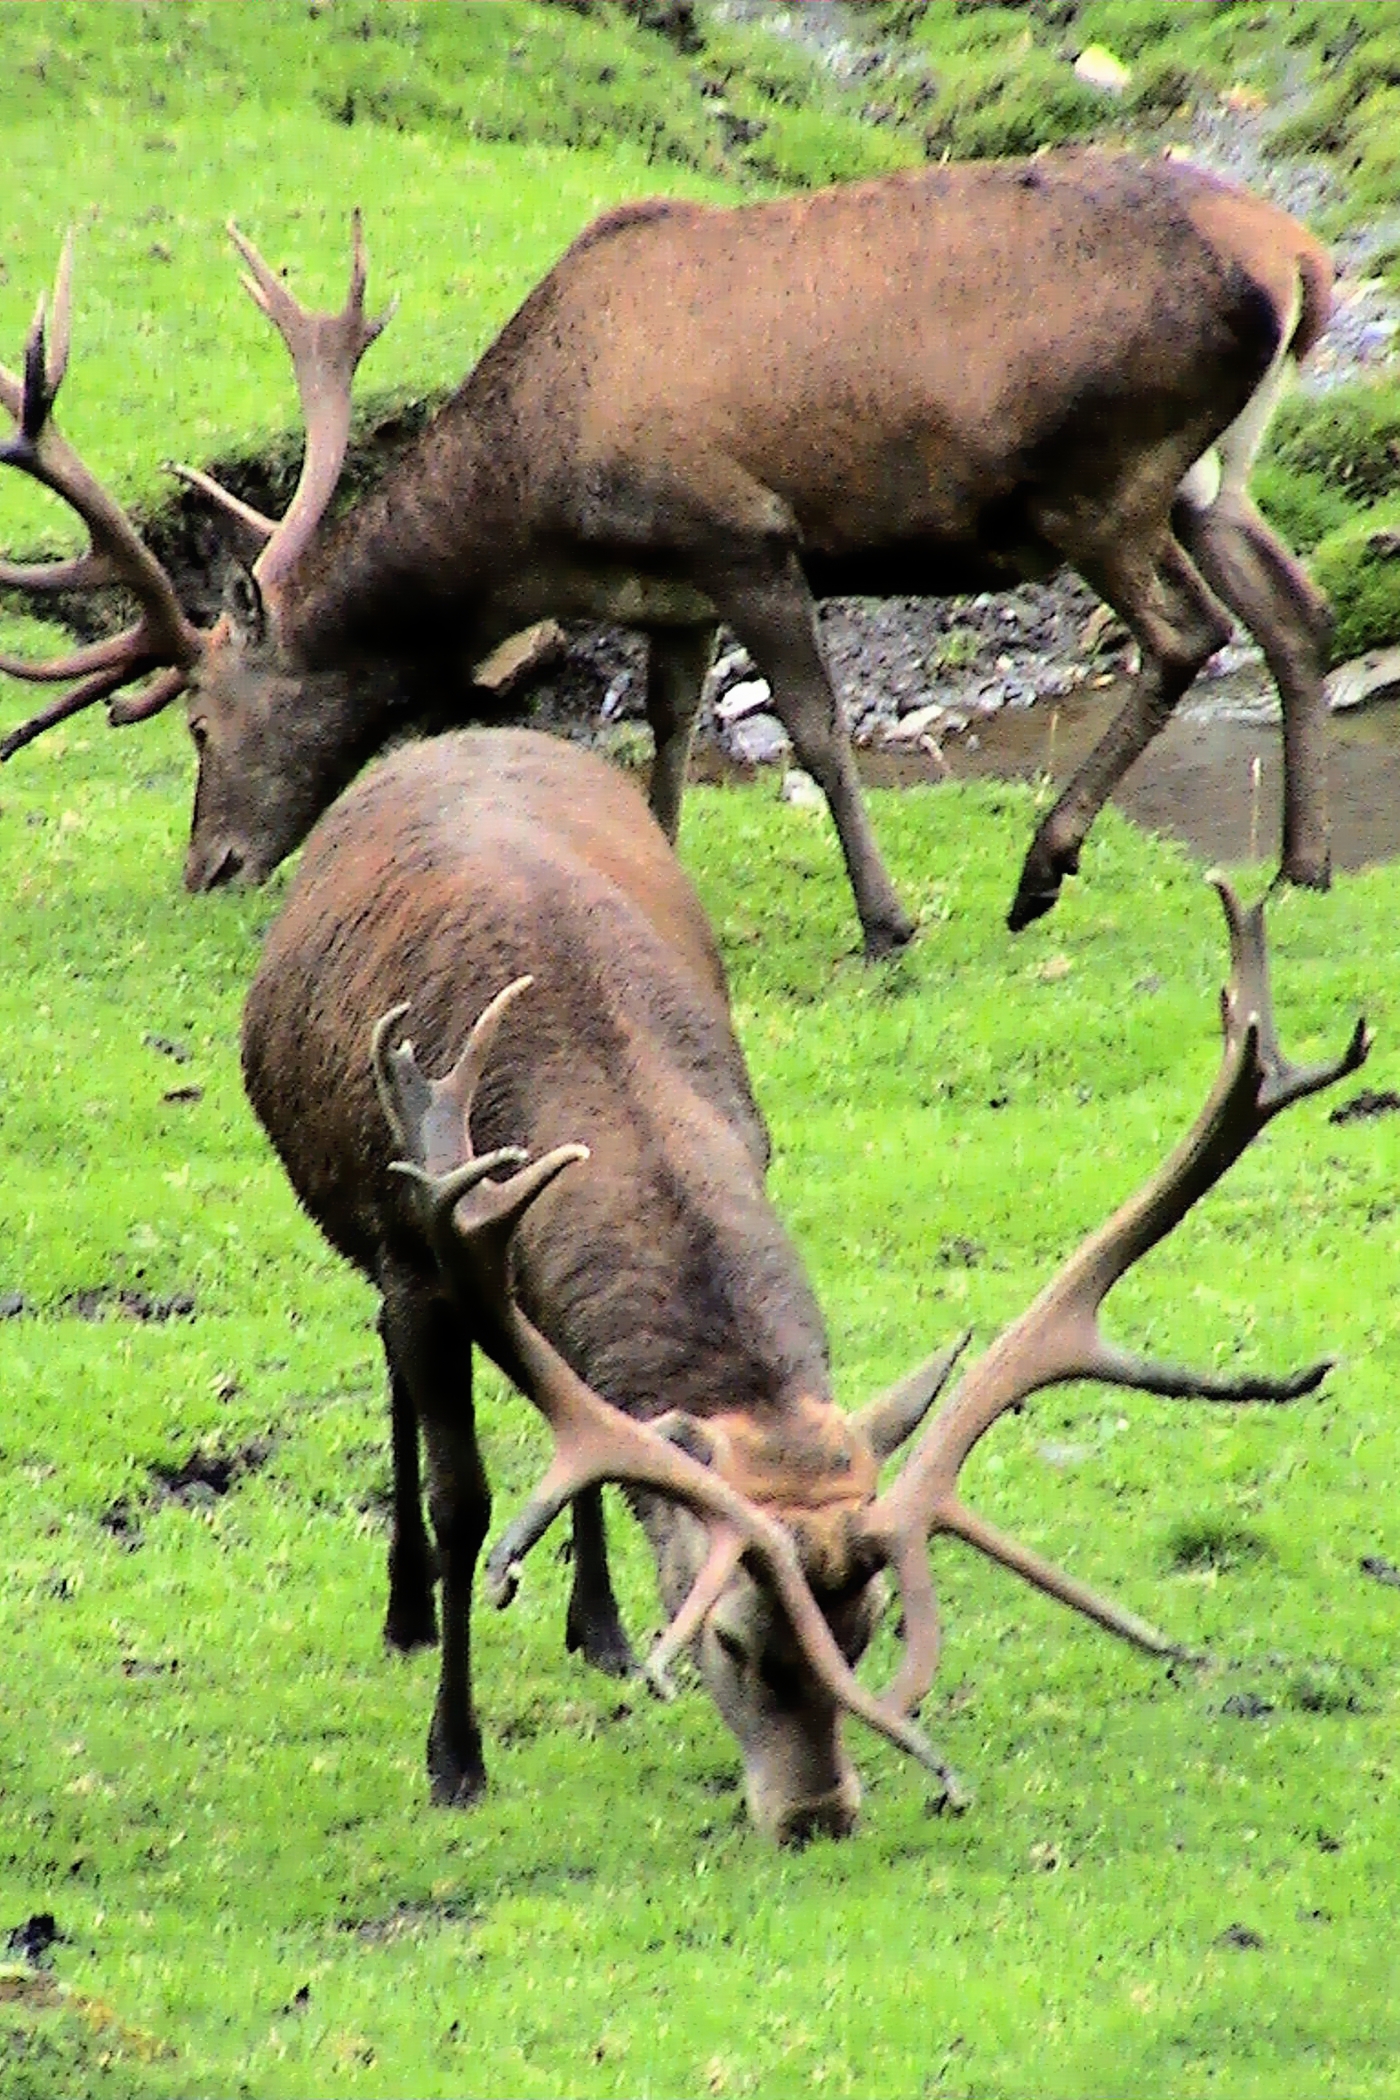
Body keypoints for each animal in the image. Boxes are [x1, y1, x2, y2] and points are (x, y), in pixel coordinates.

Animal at [0, 148, 1333, 950]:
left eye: (201, 722)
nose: (207, 868)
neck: (539, 516)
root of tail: (1297, 258)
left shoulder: (739, 531)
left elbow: (812, 728)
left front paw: (886, 921)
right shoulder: (673, 591)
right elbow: (670, 730)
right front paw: (650, 870)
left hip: (1100, 480)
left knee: (1187, 634)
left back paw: (1041, 868)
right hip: (1210, 480)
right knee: (1295, 617)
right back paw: (1298, 869)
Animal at [240, 721, 1364, 1842]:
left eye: (868, 1629)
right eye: (727, 1638)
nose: (818, 1812)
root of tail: (460, 731)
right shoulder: (419, 1248)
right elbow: (463, 1502)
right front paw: (454, 1759)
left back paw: (597, 1628)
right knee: (396, 1369)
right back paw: (406, 1612)